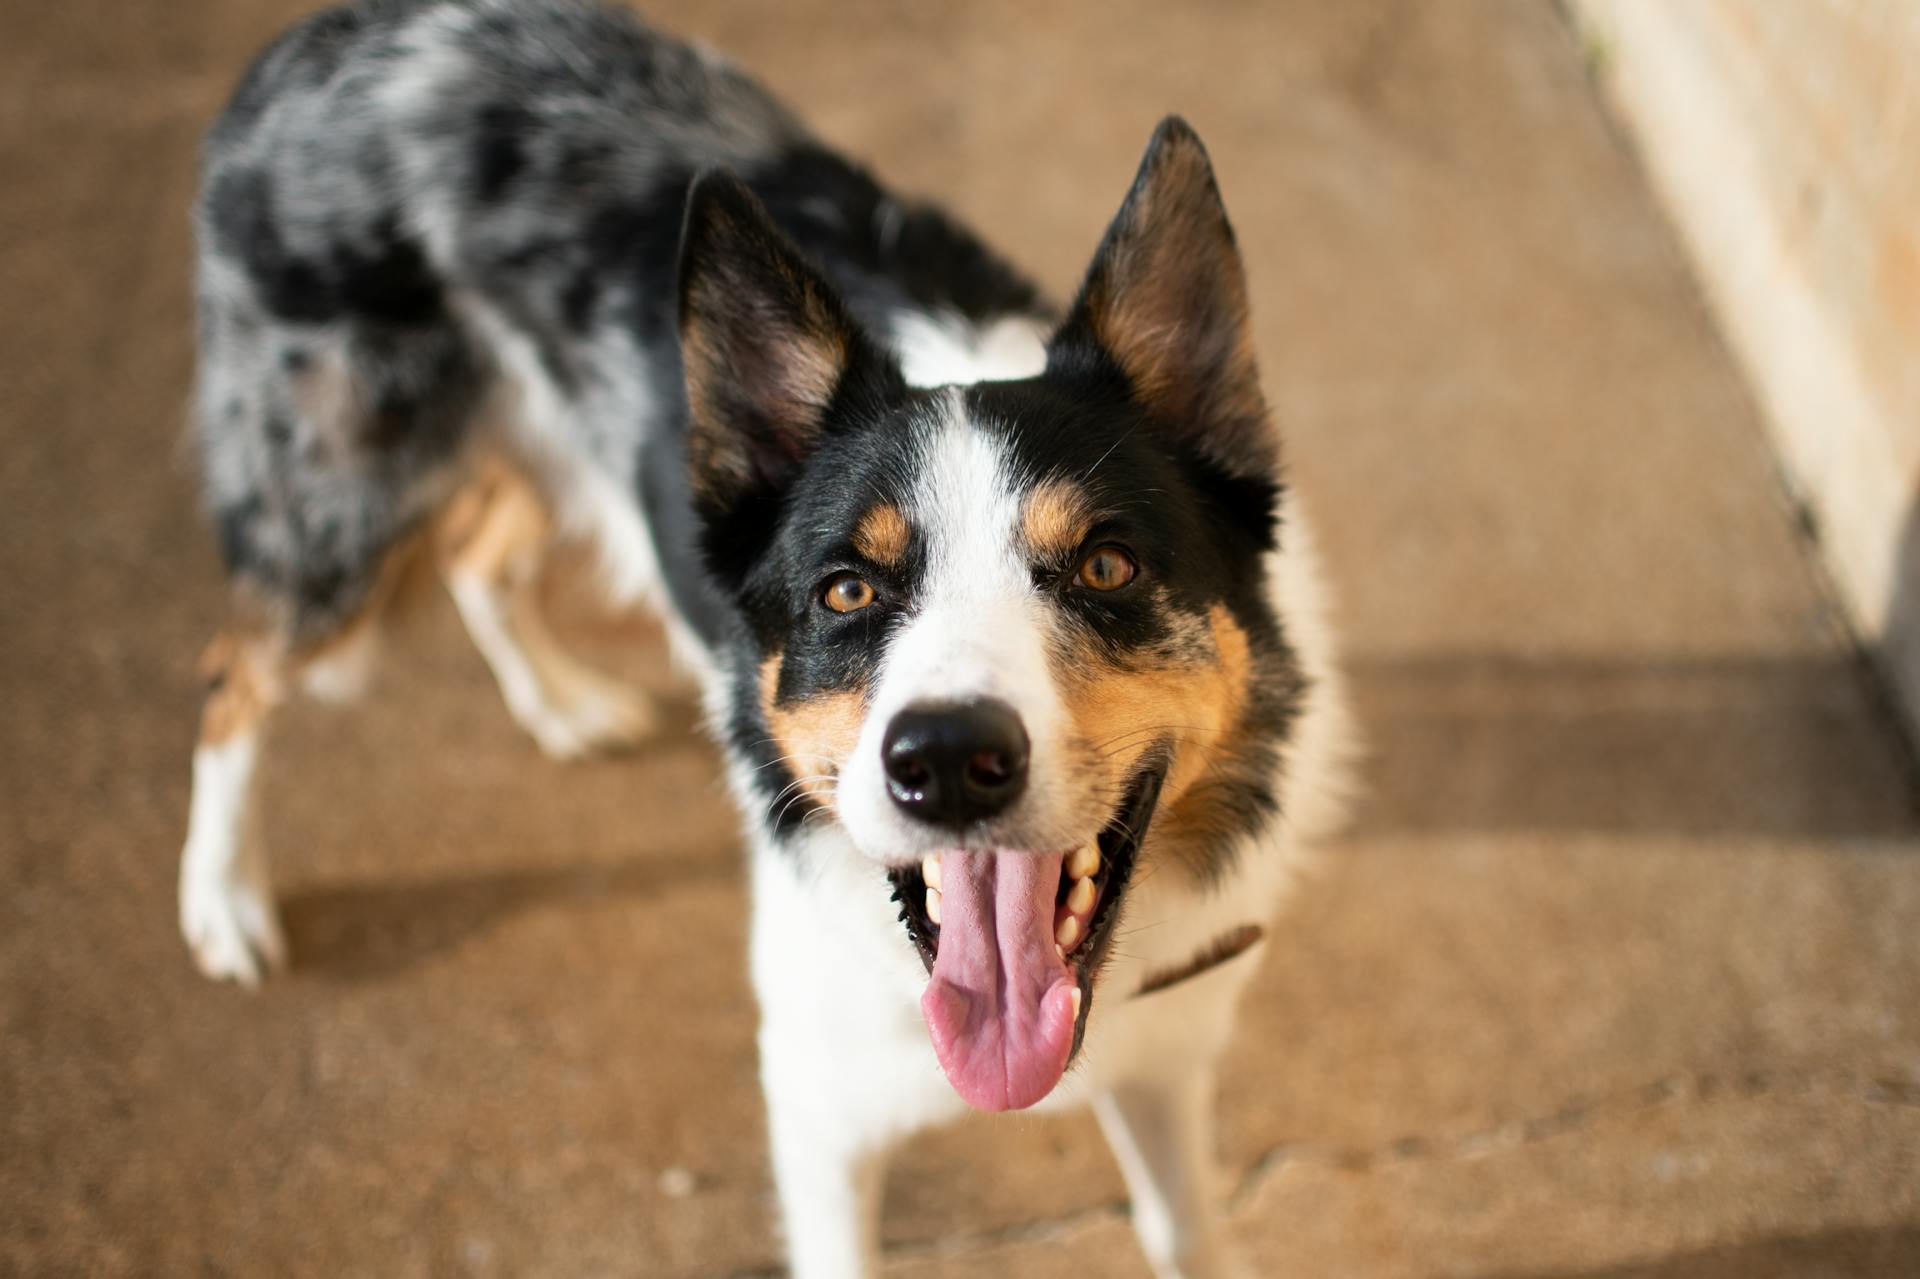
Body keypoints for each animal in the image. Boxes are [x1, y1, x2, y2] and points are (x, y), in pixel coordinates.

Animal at [176, 2, 1351, 1267]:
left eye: (1107, 566)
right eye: (844, 592)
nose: (947, 760)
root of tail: (319, 35)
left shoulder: (1166, 1060)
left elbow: (1187, 1232)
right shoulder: (818, 1110)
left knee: (476, 553)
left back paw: (559, 700)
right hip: (335, 510)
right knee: (232, 673)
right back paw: (222, 898)